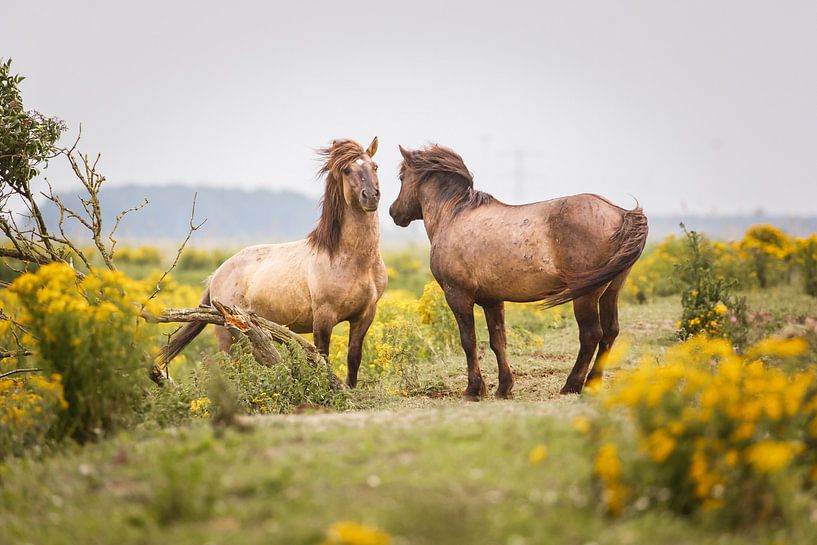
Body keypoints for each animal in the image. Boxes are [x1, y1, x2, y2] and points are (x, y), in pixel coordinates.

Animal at [164, 139, 388, 386]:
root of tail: (217, 274)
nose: (371, 196)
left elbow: (353, 359)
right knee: (229, 366)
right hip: (227, 333)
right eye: (347, 170)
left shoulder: (365, 315)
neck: (351, 260)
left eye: (375, 166)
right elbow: (324, 360)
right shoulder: (323, 317)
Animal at [388, 143, 652, 400]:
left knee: (591, 335)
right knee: (610, 332)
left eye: (401, 177)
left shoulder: (458, 295)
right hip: (611, 290)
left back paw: (573, 385)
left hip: (586, 295)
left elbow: (469, 341)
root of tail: (622, 213)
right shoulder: (492, 300)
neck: (454, 216)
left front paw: (474, 390)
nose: (393, 211)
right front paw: (503, 388)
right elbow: (498, 341)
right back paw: (592, 383)